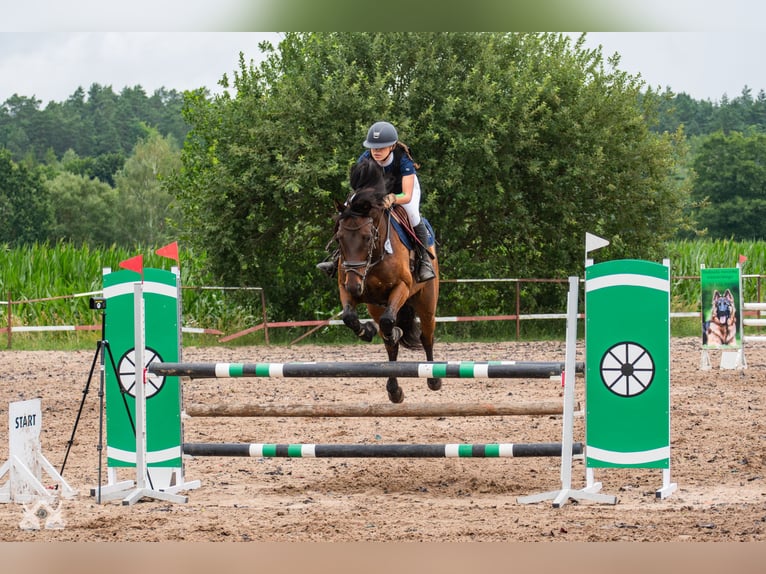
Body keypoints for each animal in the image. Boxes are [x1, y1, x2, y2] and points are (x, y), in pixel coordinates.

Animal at [332, 159, 440, 404]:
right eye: (339, 238)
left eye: (367, 238)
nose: (355, 286)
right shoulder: (346, 286)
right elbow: (349, 317)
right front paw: (366, 332)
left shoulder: (402, 287)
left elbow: (390, 322)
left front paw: (393, 332)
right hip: (375, 305)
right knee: (390, 345)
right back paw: (394, 390)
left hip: (426, 302)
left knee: (426, 336)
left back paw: (433, 379)